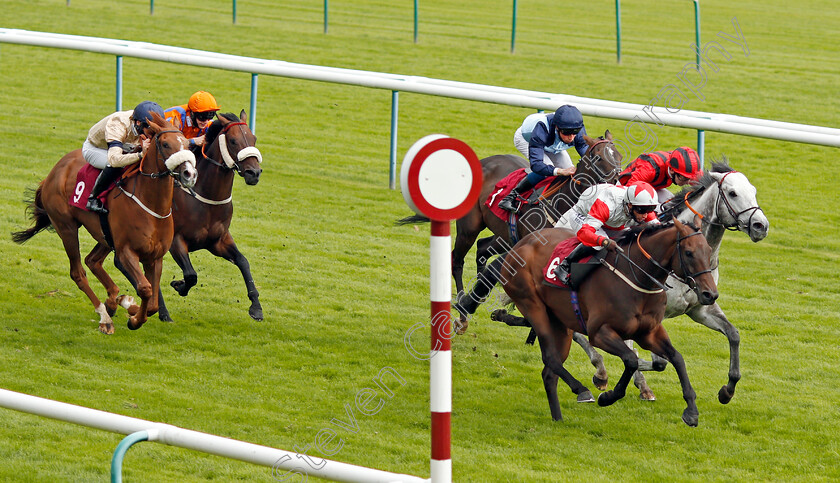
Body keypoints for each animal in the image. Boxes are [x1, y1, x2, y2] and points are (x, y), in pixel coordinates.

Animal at [12, 113, 197, 334]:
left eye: (187, 143)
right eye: (166, 144)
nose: (189, 174)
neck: (152, 206)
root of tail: (54, 171)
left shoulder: (155, 256)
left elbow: (152, 303)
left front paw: (131, 308)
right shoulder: (126, 251)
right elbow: (145, 288)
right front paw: (134, 320)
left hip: (105, 235)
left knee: (92, 261)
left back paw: (116, 301)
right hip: (66, 228)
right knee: (78, 273)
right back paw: (104, 316)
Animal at [115, 111, 264, 324]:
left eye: (254, 138)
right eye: (233, 140)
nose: (254, 173)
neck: (206, 198)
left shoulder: (218, 240)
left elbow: (243, 262)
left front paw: (256, 307)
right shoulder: (176, 241)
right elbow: (191, 274)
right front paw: (178, 285)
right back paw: (162, 311)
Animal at [398, 131, 620, 306]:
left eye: (618, 156)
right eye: (598, 158)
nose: (617, 181)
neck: (561, 204)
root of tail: (482, 162)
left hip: (504, 236)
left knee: (482, 247)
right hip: (469, 229)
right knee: (457, 259)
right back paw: (461, 297)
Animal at [456, 220, 720, 428]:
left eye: (708, 250)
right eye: (688, 252)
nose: (710, 294)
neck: (636, 277)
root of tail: (519, 245)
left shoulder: (649, 332)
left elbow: (676, 358)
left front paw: (691, 411)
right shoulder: (600, 333)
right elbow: (630, 360)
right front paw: (608, 396)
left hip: (559, 323)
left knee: (549, 371)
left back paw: (558, 418)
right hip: (533, 304)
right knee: (550, 358)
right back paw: (581, 390)